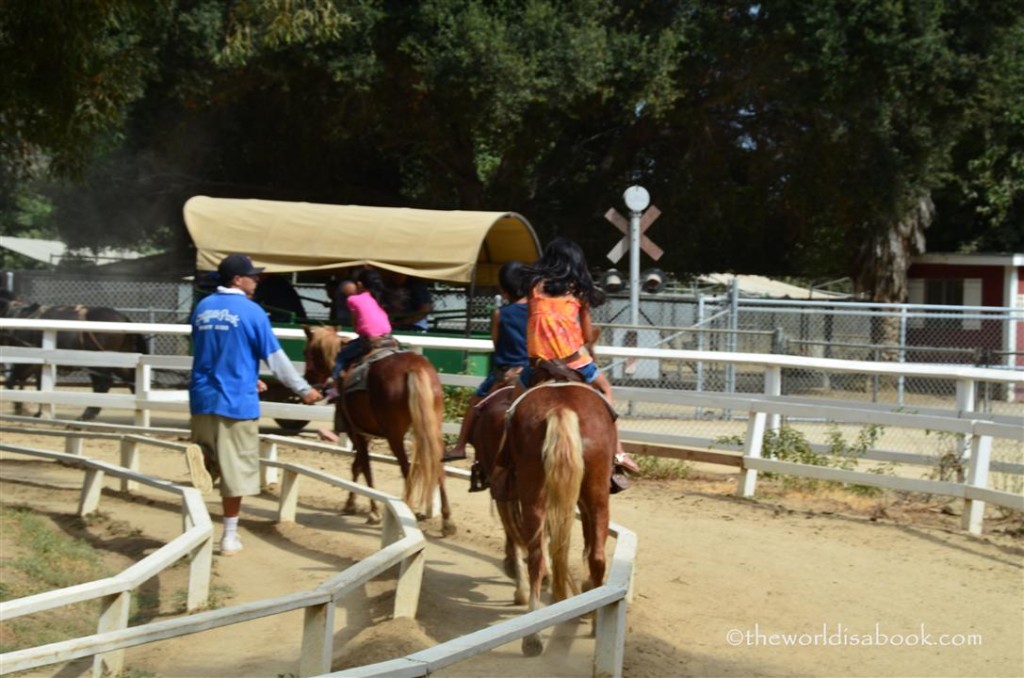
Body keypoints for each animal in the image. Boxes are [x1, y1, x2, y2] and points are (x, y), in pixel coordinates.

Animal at [0, 292, 148, 419]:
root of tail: (125, 319)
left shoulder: (27, 361)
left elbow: (12, 381)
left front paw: (20, 408)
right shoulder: (36, 365)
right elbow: (38, 385)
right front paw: (38, 412)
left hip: (98, 362)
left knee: (103, 384)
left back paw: (87, 415)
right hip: (121, 361)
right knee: (131, 380)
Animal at [299, 327, 452, 536]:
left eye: (306, 352)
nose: (308, 381)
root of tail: (413, 368)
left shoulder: (357, 432)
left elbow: (364, 467)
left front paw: (373, 512)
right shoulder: (364, 434)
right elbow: (357, 466)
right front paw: (350, 504)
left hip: (395, 436)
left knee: (406, 468)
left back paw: (410, 509)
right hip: (432, 427)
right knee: (438, 466)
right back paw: (447, 521)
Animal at [473, 385, 610, 655]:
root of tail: (561, 408)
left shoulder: (504, 491)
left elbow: (518, 537)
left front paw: (522, 587)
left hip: (531, 492)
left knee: (535, 554)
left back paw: (534, 630)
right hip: (595, 493)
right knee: (595, 556)